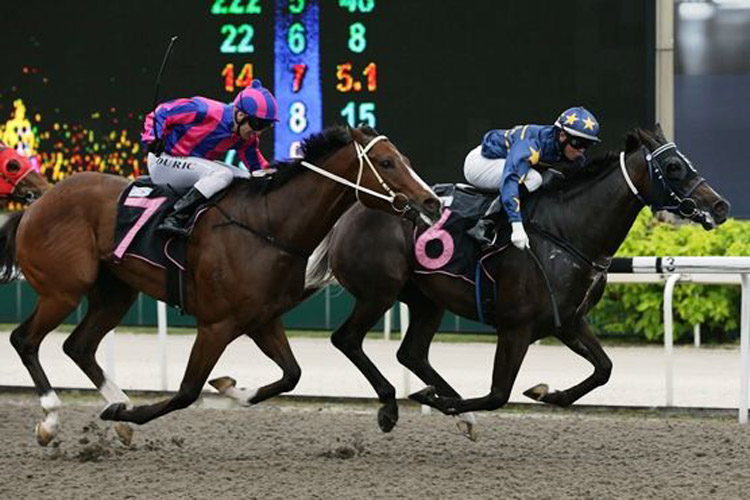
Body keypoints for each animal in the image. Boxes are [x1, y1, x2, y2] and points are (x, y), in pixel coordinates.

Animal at [0, 125, 440, 446]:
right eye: (386, 162)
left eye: (405, 159)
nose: (432, 202)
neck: (268, 227)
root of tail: (36, 204)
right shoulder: (216, 325)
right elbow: (186, 391)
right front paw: (130, 413)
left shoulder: (262, 320)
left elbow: (291, 375)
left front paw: (231, 388)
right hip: (63, 289)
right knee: (25, 339)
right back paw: (53, 418)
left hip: (114, 293)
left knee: (79, 346)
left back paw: (117, 408)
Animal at [290, 127, 732, 436]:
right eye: (673, 167)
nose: (720, 206)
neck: (565, 232)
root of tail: (350, 211)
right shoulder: (515, 328)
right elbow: (497, 395)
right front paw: (448, 403)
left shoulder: (568, 321)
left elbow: (603, 369)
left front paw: (547, 393)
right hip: (378, 292)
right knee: (347, 339)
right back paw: (393, 405)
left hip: (426, 299)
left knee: (411, 354)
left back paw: (441, 399)